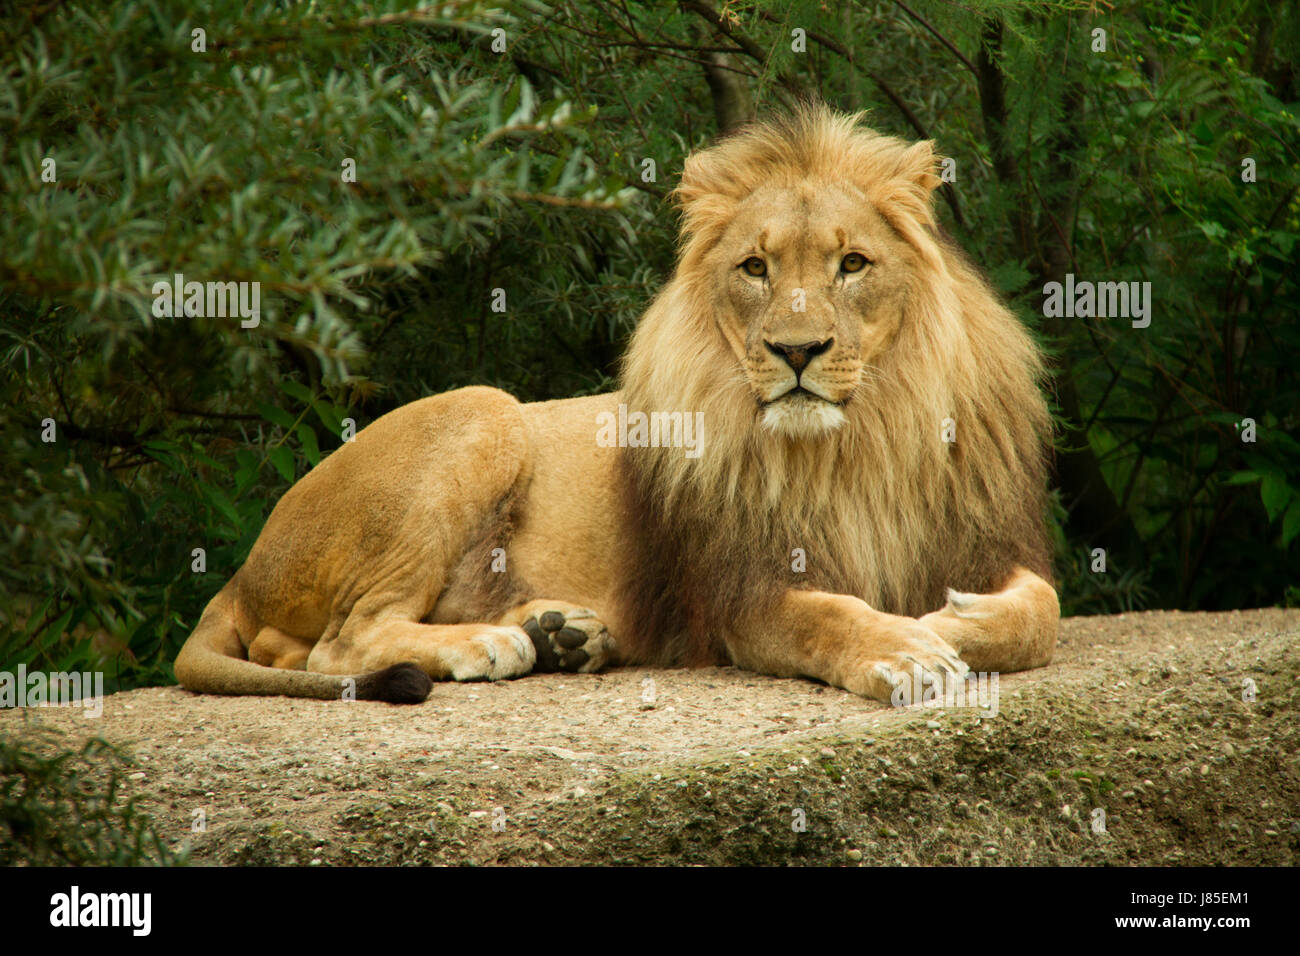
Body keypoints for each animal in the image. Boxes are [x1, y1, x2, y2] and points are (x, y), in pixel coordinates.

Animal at [175, 106, 1055, 702]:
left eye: (853, 264)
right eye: (755, 269)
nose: (797, 351)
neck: (857, 443)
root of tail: (244, 564)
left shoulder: (986, 541)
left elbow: (1037, 612)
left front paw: (952, 621)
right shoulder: (738, 596)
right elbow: (827, 617)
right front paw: (904, 650)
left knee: (295, 650)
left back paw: (561, 635)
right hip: (486, 410)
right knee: (338, 642)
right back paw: (493, 642)